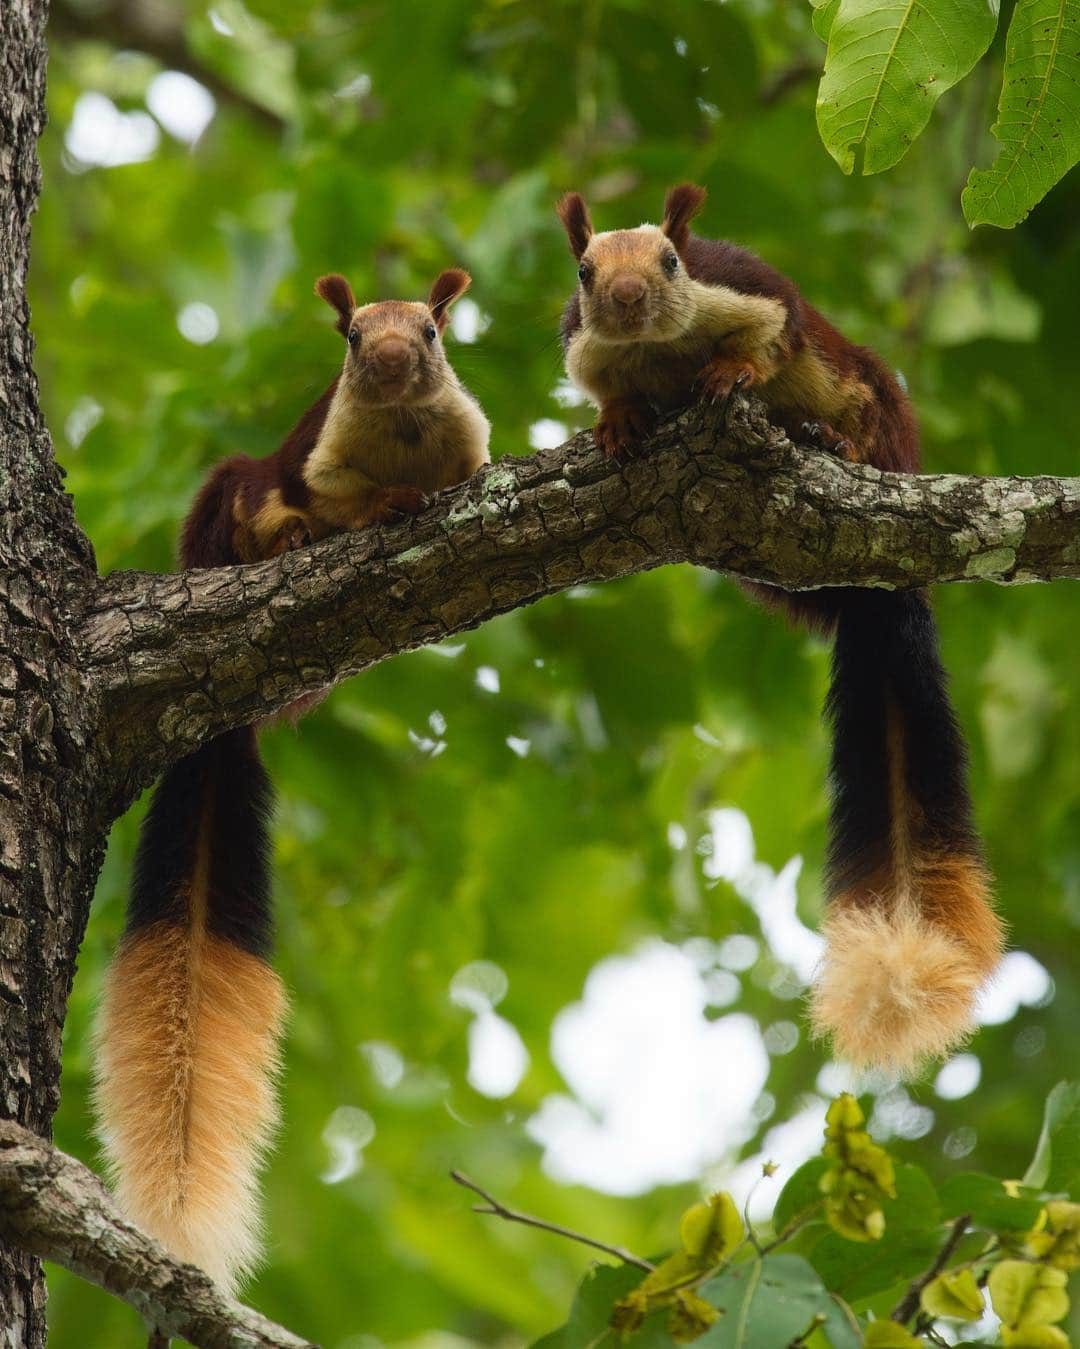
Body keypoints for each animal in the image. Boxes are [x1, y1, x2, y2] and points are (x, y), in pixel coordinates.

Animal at [93, 265, 488, 1295]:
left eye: (430, 331)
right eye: (352, 335)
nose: (386, 362)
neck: (402, 436)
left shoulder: (466, 439)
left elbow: (468, 475)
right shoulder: (319, 457)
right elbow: (338, 498)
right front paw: (376, 512)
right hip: (231, 492)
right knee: (252, 505)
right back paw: (278, 544)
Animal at [555, 187, 1003, 1073]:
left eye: (671, 261)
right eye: (585, 271)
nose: (625, 298)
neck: (661, 349)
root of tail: (876, 592)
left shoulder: (755, 295)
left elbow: (771, 339)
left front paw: (731, 372)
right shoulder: (582, 347)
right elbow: (606, 392)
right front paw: (619, 419)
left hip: (875, 401)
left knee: (859, 414)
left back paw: (837, 442)